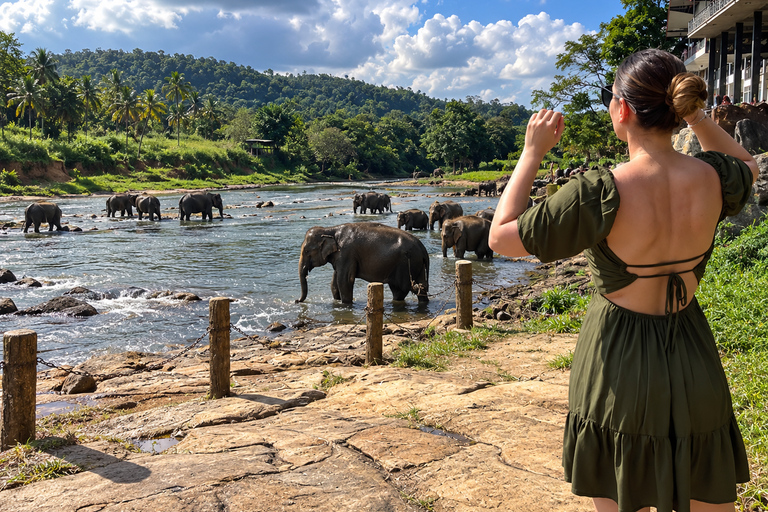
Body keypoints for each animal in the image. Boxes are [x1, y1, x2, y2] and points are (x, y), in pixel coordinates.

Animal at [298, 222, 430, 304]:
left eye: (307, 251)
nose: (296, 301)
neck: (330, 229)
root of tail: (422, 248)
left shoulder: (346, 253)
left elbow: (345, 280)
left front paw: (345, 304)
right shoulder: (340, 257)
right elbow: (334, 282)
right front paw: (337, 301)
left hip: (405, 264)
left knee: (400, 289)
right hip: (417, 264)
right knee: (421, 286)